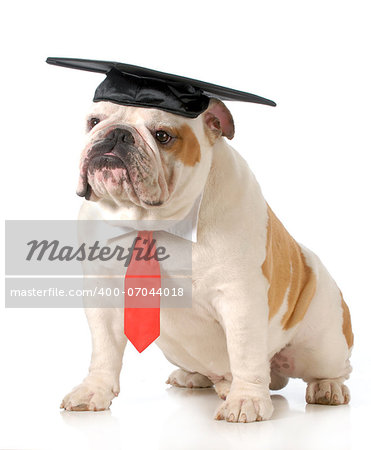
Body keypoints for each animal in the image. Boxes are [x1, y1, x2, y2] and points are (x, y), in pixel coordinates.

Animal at [61, 97, 354, 422]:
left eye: (163, 135)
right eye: (94, 121)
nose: (117, 134)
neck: (152, 220)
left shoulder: (240, 298)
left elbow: (244, 352)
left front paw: (246, 400)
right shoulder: (103, 296)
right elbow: (104, 350)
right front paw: (93, 391)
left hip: (322, 345)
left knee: (331, 368)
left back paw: (327, 388)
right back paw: (197, 377)